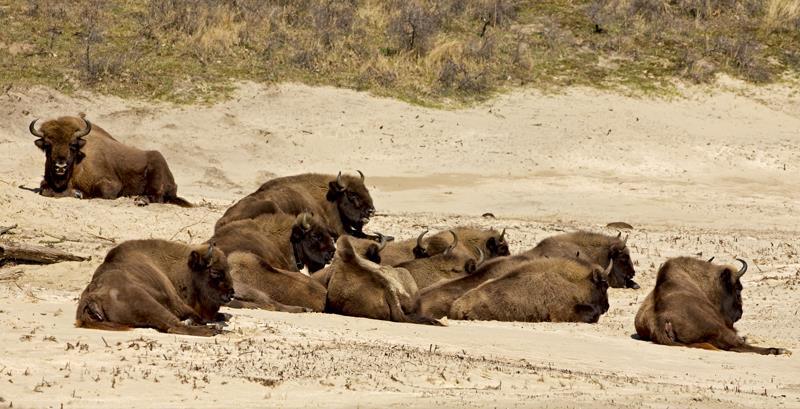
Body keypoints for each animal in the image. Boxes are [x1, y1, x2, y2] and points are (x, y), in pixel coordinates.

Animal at [27, 115, 191, 206]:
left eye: (72, 145)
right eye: (47, 145)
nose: (60, 166)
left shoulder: (112, 184)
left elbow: (102, 192)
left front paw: (78, 194)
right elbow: (44, 189)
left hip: (157, 167)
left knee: (158, 196)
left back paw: (140, 199)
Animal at [74, 237, 234, 336]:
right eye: (215, 272)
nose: (231, 293)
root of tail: (91, 295)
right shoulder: (179, 304)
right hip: (147, 302)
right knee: (174, 326)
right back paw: (213, 330)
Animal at [216, 171, 382, 241]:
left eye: (366, 190)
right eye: (352, 194)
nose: (371, 211)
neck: (330, 197)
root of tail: (222, 221)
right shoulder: (338, 229)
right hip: (270, 206)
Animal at [636, 258, 792, 354]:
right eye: (738, 289)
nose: (740, 313)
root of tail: (659, 322)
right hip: (719, 329)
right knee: (738, 345)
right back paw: (779, 350)